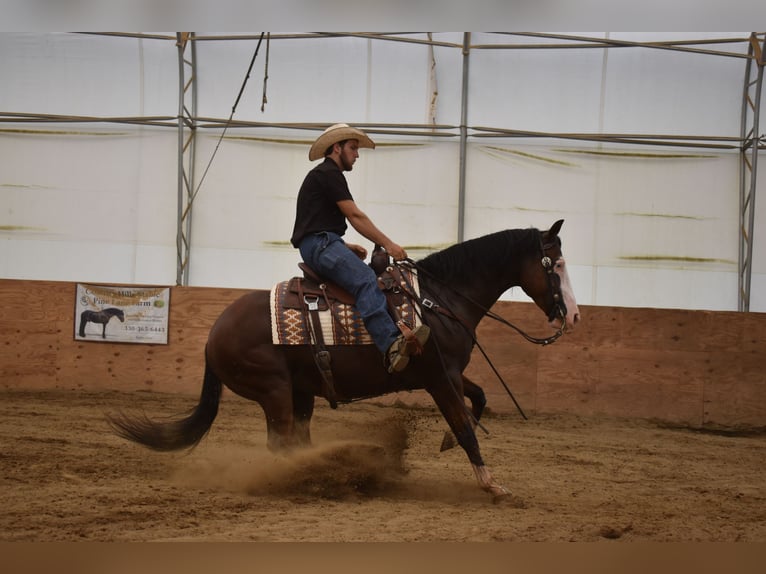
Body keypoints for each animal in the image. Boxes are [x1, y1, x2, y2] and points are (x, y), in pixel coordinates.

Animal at [108, 220, 580, 502]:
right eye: (555, 263)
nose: (573, 316)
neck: (438, 299)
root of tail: (212, 334)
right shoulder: (439, 377)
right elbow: (465, 428)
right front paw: (491, 485)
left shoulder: (450, 372)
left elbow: (478, 400)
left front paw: (451, 446)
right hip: (274, 390)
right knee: (281, 444)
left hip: (300, 392)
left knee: (296, 440)